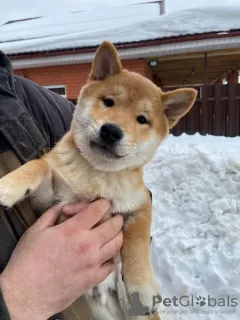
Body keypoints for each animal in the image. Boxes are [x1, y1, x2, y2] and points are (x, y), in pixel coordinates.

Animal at [0, 41, 197, 318]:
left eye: (142, 119)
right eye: (108, 102)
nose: (111, 131)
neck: (98, 174)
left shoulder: (141, 202)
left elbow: (137, 237)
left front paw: (143, 285)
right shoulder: (51, 203)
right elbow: (40, 165)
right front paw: (9, 185)